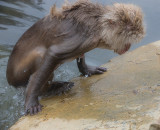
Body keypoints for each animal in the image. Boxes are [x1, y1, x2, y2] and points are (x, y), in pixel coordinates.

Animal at [6, 0, 145, 115]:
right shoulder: (83, 39)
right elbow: (52, 54)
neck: (99, 29)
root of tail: (10, 81)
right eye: (127, 40)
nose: (127, 47)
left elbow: (80, 56)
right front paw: (31, 101)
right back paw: (49, 90)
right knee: (41, 57)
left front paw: (87, 70)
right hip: (20, 75)